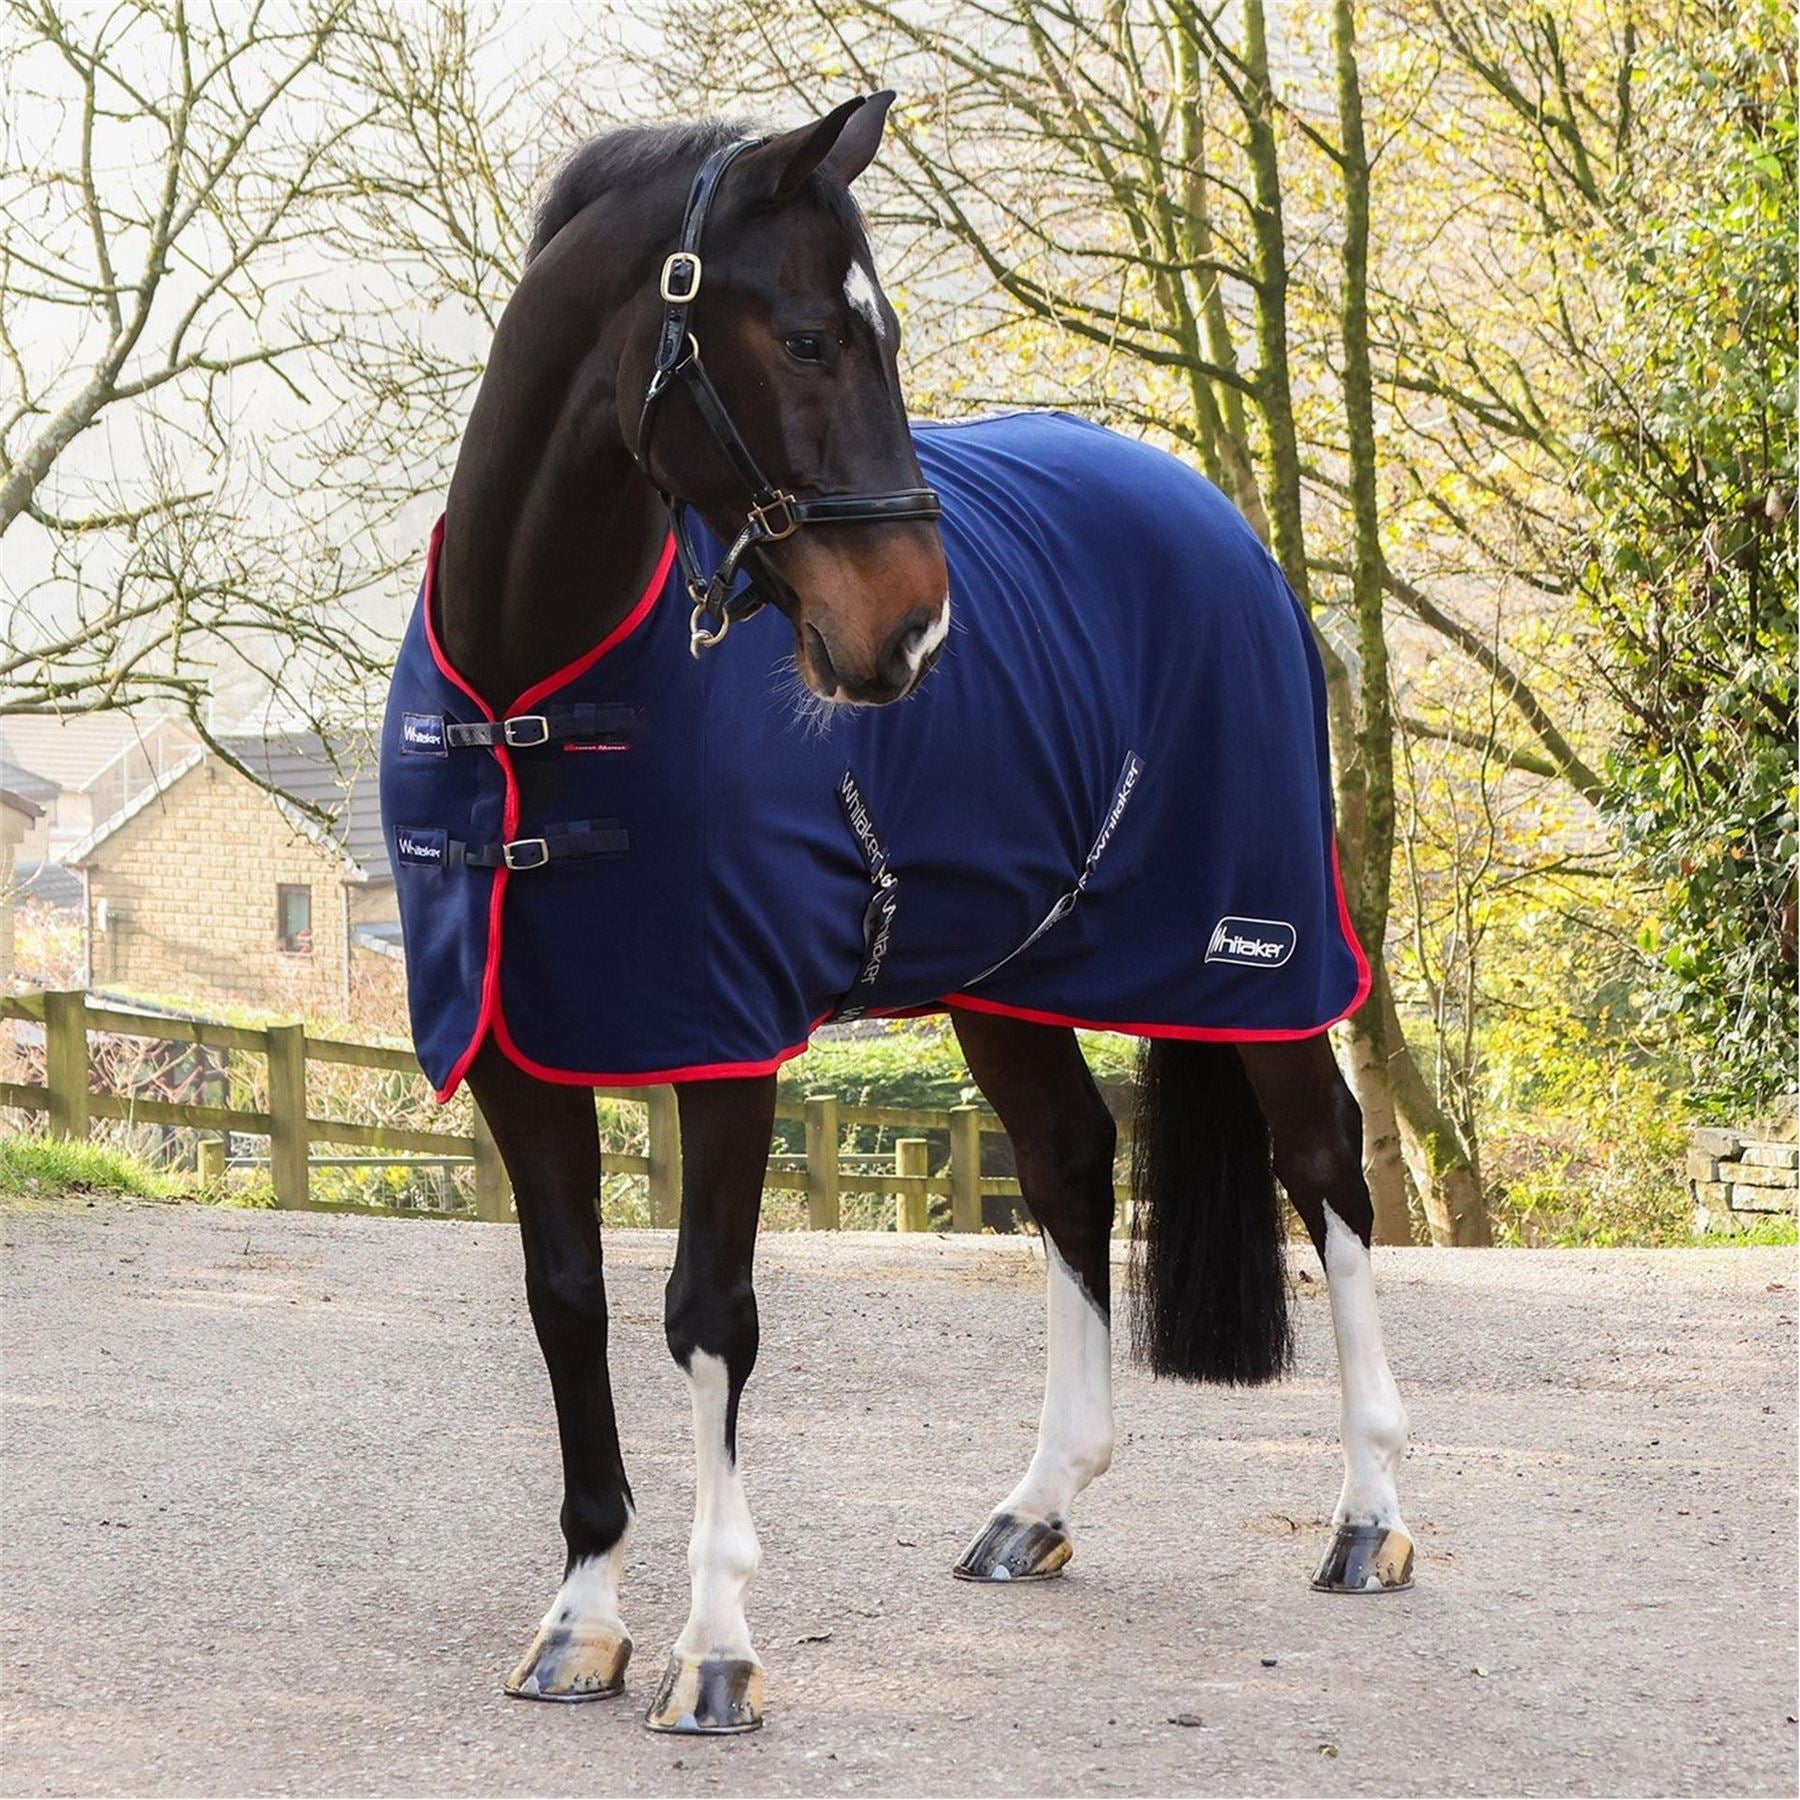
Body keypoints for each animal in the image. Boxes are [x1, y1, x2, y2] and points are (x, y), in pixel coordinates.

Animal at [379, 93, 1413, 1737]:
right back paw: (1039, 1505)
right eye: (807, 339)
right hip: (1010, 975)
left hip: (1256, 958)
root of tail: (1227, 533)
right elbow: (567, 1302)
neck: (533, 680)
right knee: (1068, 1166)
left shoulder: (726, 1042)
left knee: (1326, 1169)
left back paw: (1370, 1519)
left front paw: (715, 1648)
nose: (915, 631)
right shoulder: (513, 1051)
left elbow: (708, 1313)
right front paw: (582, 1619)